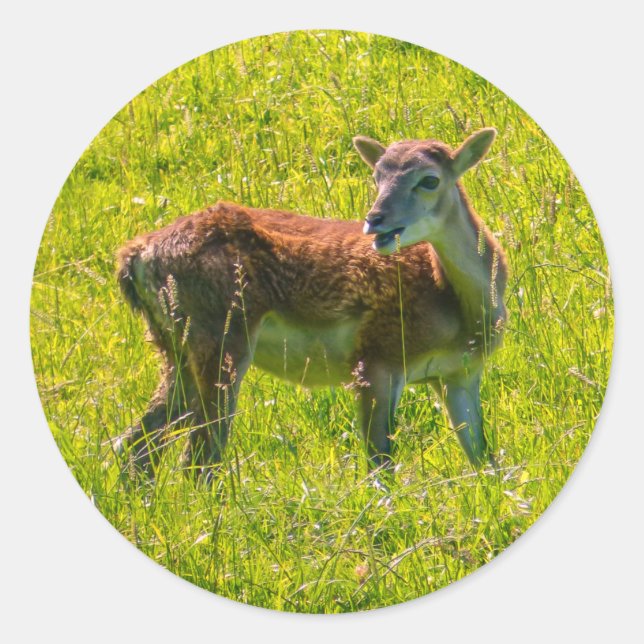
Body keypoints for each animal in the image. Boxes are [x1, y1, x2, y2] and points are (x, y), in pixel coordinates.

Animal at [114, 127, 508, 482]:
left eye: (429, 180)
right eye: (376, 176)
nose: (375, 220)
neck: (460, 311)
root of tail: (136, 257)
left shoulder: (460, 373)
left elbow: (484, 459)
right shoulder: (376, 358)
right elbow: (380, 464)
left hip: (175, 348)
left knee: (136, 442)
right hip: (221, 337)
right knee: (199, 456)